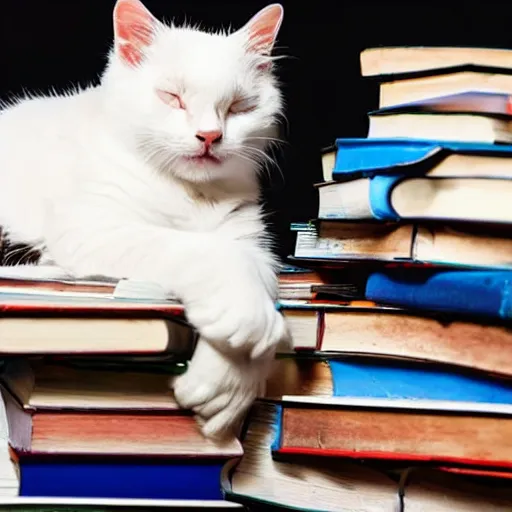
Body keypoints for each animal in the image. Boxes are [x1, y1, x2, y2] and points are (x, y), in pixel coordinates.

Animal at [0, 0, 290, 438]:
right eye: (173, 97)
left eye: (239, 106)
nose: (210, 135)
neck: (191, 195)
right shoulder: (91, 229)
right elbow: (211, 252)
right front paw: (246, 317)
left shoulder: (253, 244)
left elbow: (269, 283)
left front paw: (231, 381)